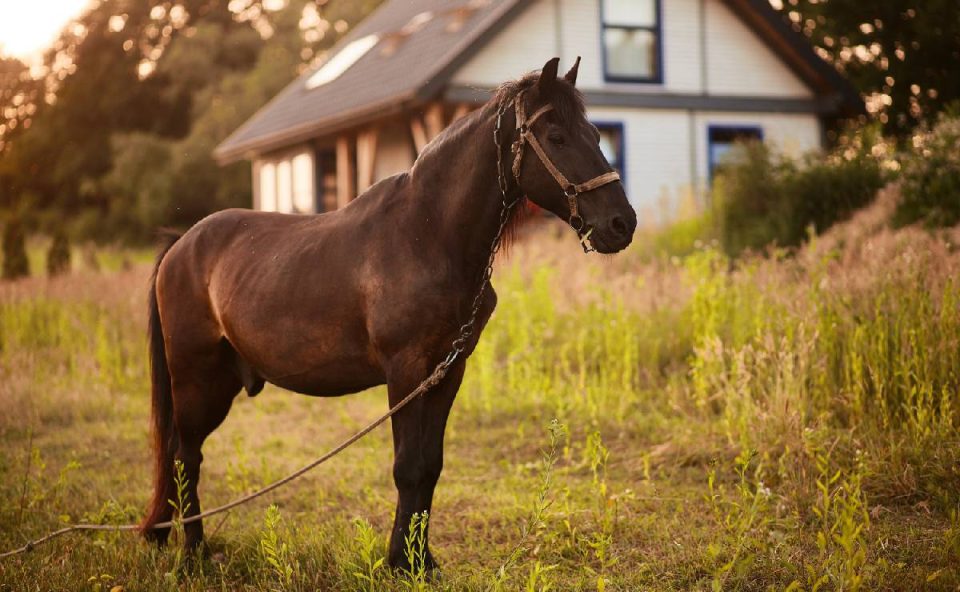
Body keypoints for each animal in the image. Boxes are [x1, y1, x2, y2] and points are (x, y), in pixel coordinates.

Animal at [140, 56, 637, 570]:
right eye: (556, 136)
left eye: (595, 134)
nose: (621, 224)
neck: (427, 234)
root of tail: (181, 244)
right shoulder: (405, 371)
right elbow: (407, 466)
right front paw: (401, 561)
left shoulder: (447, 372)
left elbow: (430, 466)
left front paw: (422, 560)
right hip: (196, 377)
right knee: (185, 456)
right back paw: (194, 553)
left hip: (221, 382)